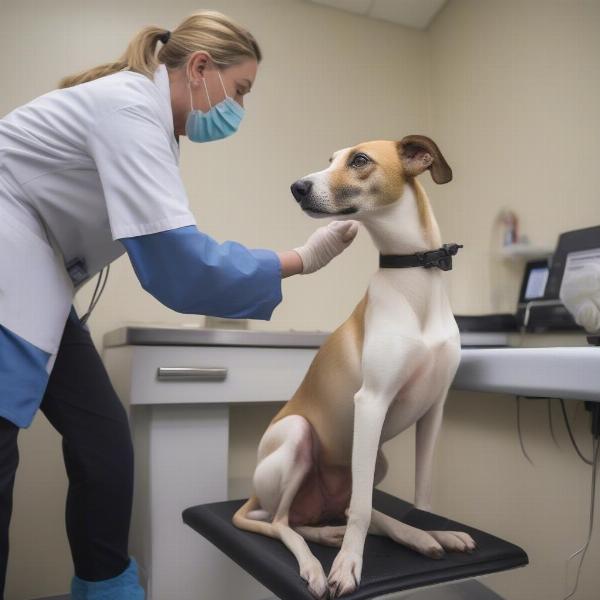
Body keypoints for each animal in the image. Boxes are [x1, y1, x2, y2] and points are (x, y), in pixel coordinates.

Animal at [233, 136, 474, 600]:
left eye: (359, 160)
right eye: (329, 161)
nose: (297, 187)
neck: (415, 280)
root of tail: (253, 491)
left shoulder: (434, 411)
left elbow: (421, 498)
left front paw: (429, 527)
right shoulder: (372, 402)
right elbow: (361, 510)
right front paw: (347, 565)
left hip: (375, 459)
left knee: (346, 509)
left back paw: (417, 536)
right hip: (297, 437)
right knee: (285, 523)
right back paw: (317, 560)